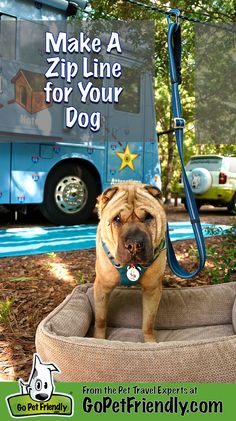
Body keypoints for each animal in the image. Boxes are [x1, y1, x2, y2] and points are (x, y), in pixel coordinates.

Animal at [93, 180, 167, 342]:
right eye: (117, 219)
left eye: (148, 217)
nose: (134, 243)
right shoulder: (102, 287)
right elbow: (100, 319)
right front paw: (99, 339)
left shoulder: (152, 289)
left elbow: (148, 321)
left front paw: (150, 341)